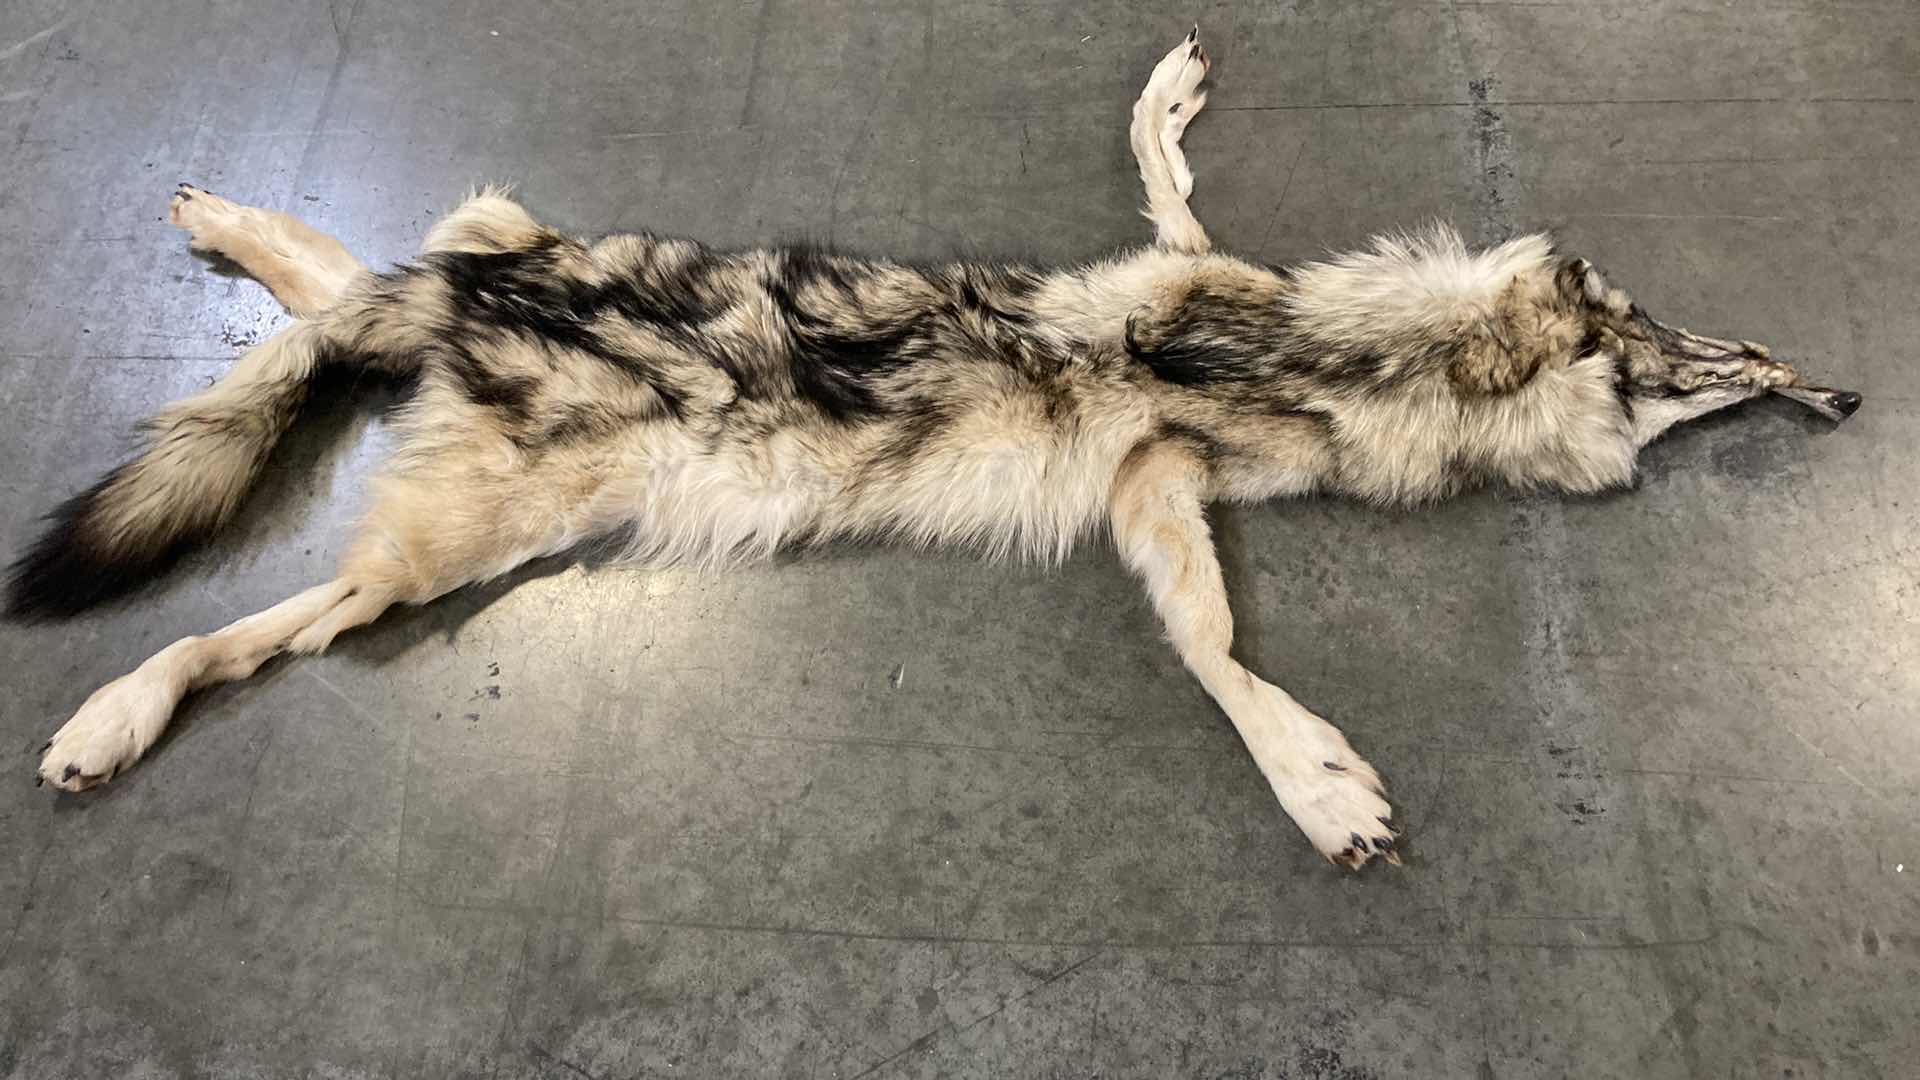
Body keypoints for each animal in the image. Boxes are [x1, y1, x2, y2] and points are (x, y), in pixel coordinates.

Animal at [7, 29, 1860, 868]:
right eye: (1714, 370)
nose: (1836, 394)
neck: (1348, 350)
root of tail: (463, 319)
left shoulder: (1161, 467)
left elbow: (1207, 632)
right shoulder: (1170, 431)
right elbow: (1220, 654)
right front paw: (1319, 783)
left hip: (492, 263)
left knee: (340, 290)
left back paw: (226, 224)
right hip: (441, 549)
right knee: (260, 616)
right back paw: (107, 718)